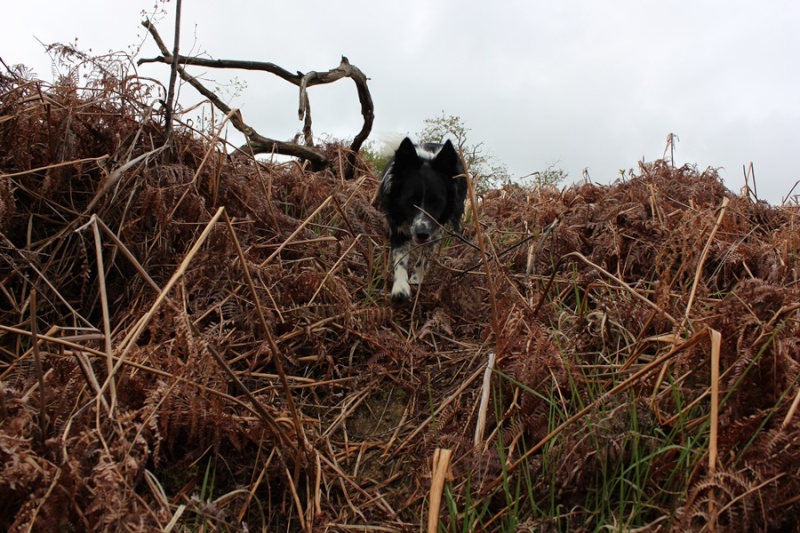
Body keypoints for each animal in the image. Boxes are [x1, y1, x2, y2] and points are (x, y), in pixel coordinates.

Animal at [376, 137, 466, 304]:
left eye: (436, 202)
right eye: (411, 200)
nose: (422, 233)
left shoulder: (435, 229)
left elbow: (423, 259)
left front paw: (415, 281)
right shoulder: (398, 224)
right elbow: (400, 257)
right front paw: (400, 288)